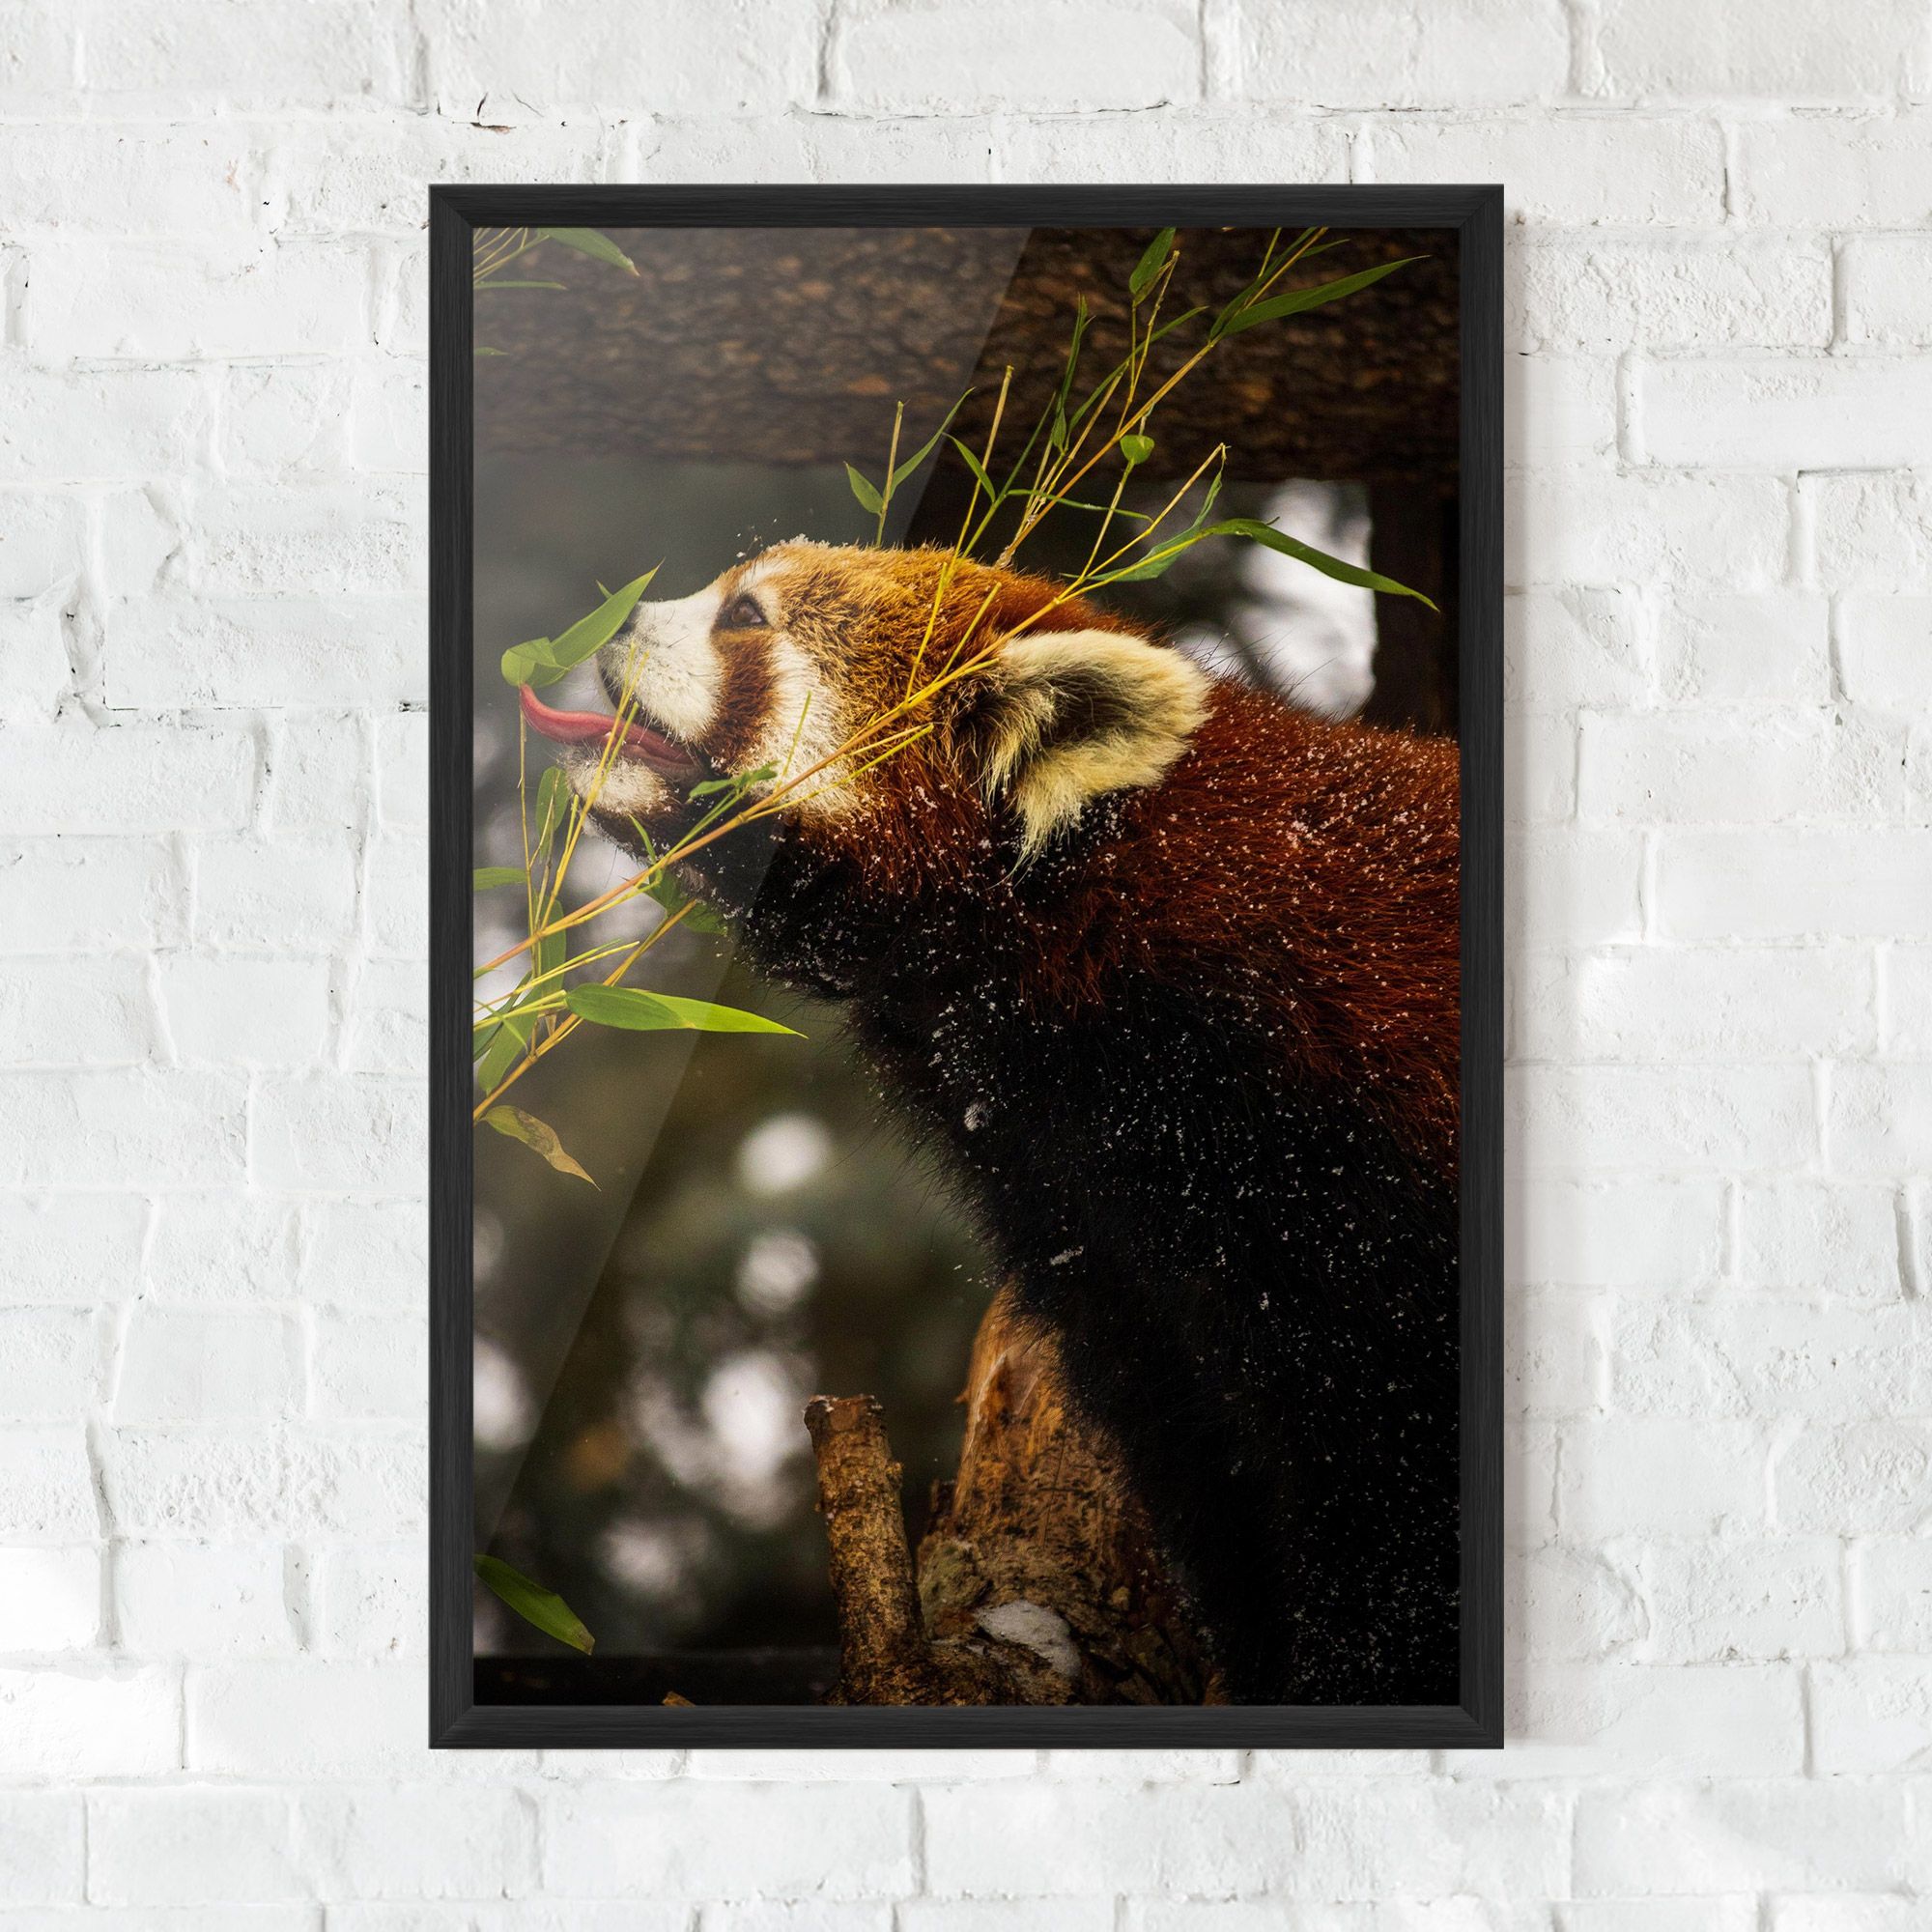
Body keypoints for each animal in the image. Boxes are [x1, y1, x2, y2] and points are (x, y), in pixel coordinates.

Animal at [521, 539, 1462, 1706]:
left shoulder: (1345, 1163)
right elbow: (1202, 1455)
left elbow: (1391, 1491)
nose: (604, 620)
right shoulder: (1090, 1218)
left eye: (745, 615)